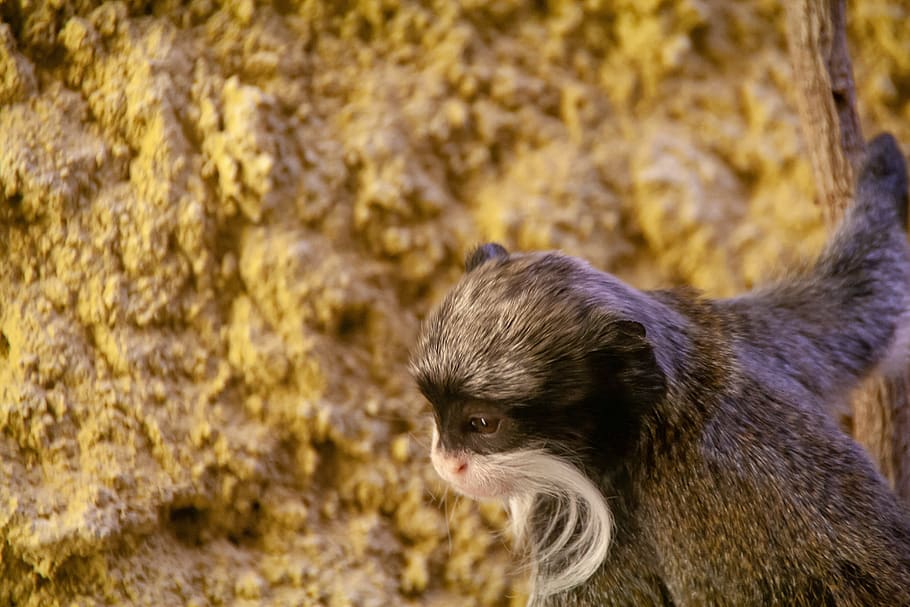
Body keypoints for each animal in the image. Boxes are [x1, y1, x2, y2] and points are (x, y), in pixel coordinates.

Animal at [410, 133, 910, 606]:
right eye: (436, 412)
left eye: (481, 424)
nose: (446, 461)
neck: (662, 408)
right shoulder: (752, 336)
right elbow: (863, 292)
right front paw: (882, 171)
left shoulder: (598, 525)